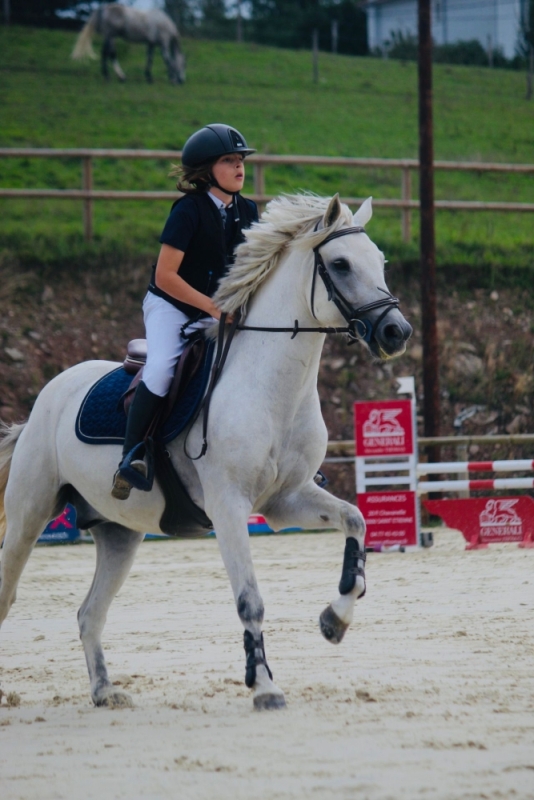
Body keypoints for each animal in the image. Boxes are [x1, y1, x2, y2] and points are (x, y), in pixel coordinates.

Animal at [0, 194, 414, 712]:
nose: (397, 332)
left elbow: (356, 522)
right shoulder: (229, 506)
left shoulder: (286, 501)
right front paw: (265, 686)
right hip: (29, 515)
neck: (273, 388)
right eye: (340, 264)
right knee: (8, 593)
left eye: (379, 261)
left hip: (119, 533)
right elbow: (250, 600)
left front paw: (334, 620)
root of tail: (48, 396)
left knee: (88, 613)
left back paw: (104, 691)